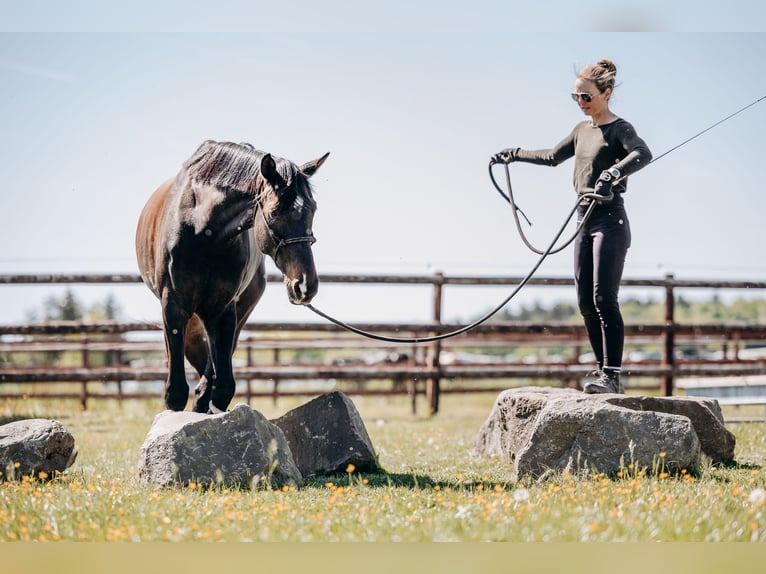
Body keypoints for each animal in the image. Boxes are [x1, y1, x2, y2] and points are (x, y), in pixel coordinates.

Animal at [135, 140, 329, 413]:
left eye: (313, 209)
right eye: (274, 213)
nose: (305, 285)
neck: (203, 229)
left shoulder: (224, 308)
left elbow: (223, 384)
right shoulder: (172, 305)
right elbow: (176, 392)